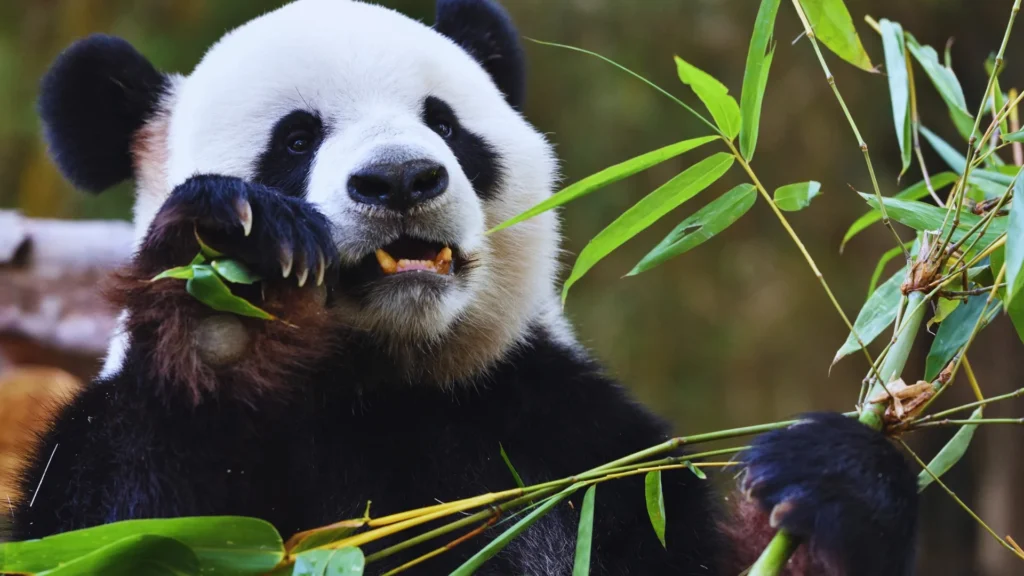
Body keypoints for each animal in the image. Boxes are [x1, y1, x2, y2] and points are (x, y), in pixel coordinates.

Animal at [12, 0, 919, 574]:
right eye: (297, 138)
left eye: (443, 122)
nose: (401, 180)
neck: (376, 378)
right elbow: (123, 526)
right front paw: (229, 299)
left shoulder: (563, 444)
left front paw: (834, 489)